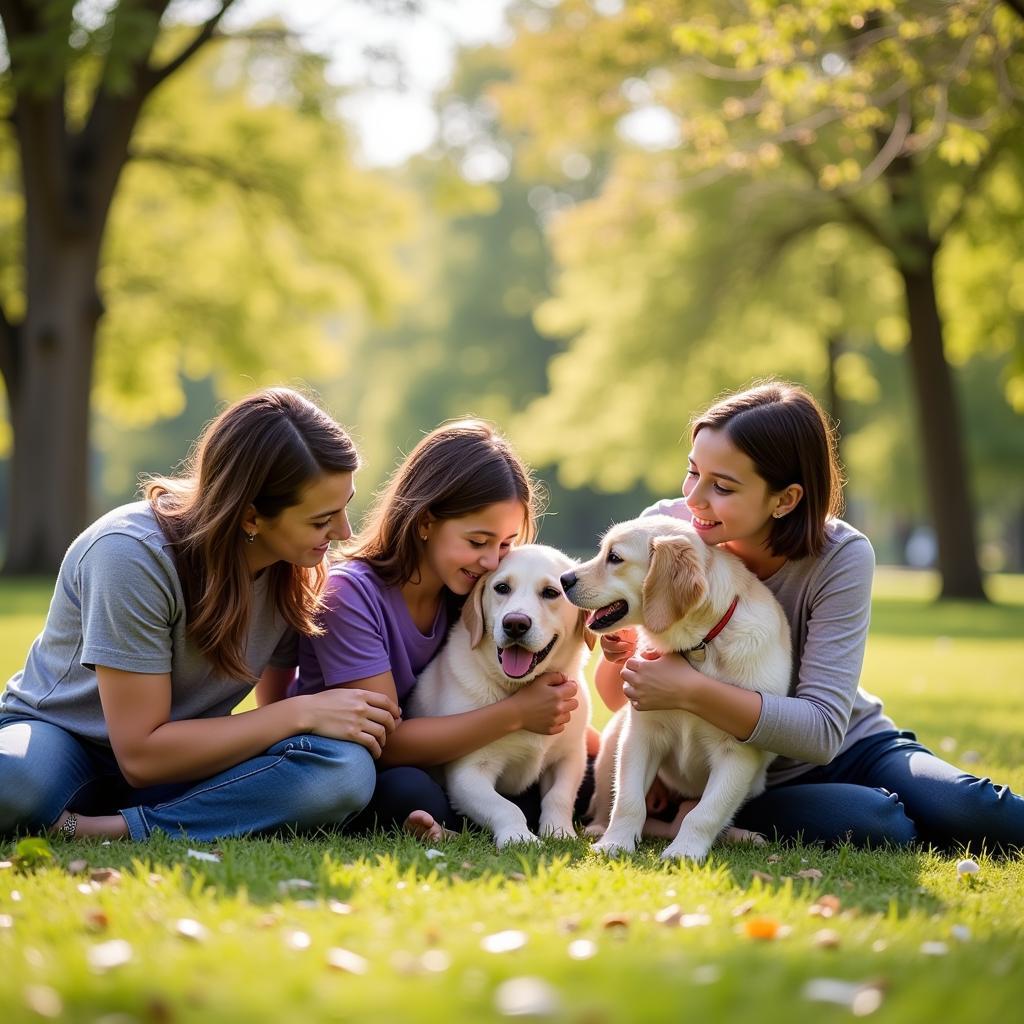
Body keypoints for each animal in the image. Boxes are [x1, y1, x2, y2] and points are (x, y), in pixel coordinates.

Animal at [407, 544, 593, 847]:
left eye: (551, 592)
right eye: (502, 587)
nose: (515, 624)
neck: (518, 690)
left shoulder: (570, 756)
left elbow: (559, 796)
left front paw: (560, 832)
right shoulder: (469, 772)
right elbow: (506, 807)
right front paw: (520, 837)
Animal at [561, 516, 790, 860]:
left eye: (614, 557)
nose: (563, 579)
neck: (697, 646)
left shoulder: (738, 753)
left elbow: (705, 813)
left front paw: (684, 852)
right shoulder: (640, 733)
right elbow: (628, 801)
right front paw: (616, 843)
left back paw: (743, 836)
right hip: (612, 741)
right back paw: (599, 829)